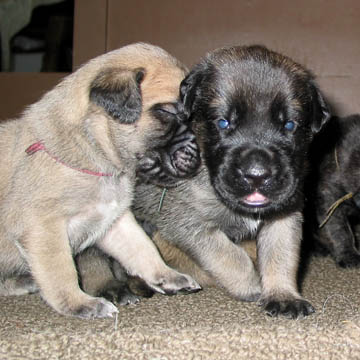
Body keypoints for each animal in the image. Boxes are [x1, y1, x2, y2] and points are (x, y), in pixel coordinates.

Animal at [0, 41, 201, 318]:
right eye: (167, 112)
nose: (200, 155)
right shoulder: (43, 226)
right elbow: (61, 270)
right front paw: (80, 303)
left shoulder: (115, 221)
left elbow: (142, 249)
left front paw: (168, 276)